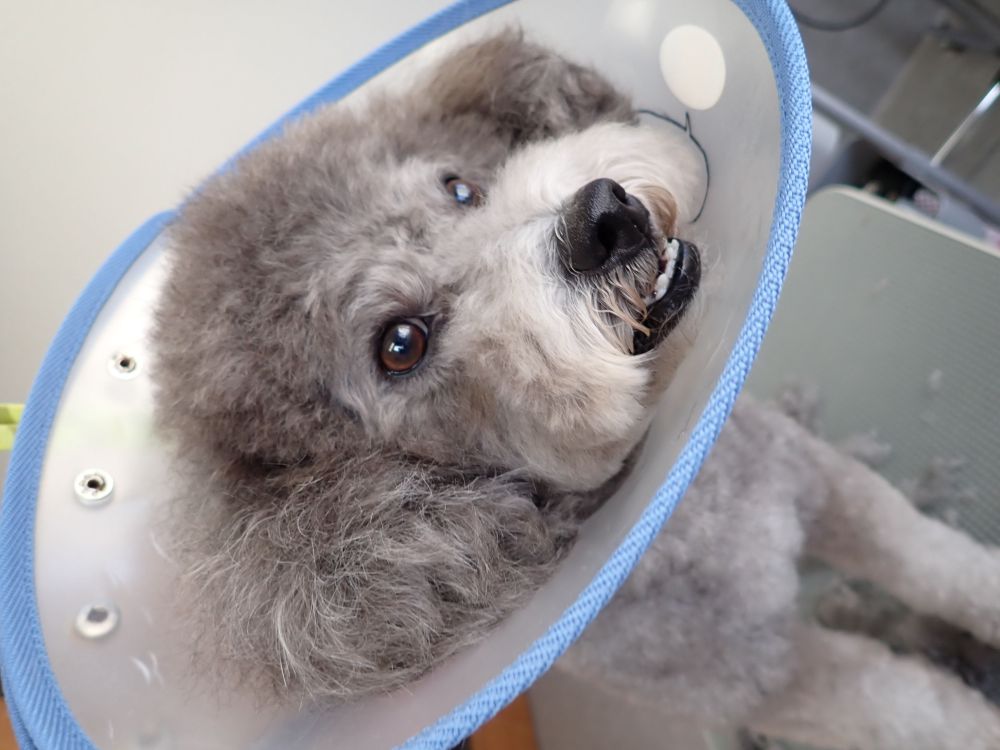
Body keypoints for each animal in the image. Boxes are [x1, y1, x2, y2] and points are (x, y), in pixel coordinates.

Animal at [151, 31, 1000, 750]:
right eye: (401, 345)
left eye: (458, 188)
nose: (601, 218)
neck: (693, 519)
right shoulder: (773, 674)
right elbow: (923, 711)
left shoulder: (823, 481)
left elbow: (937, 561)